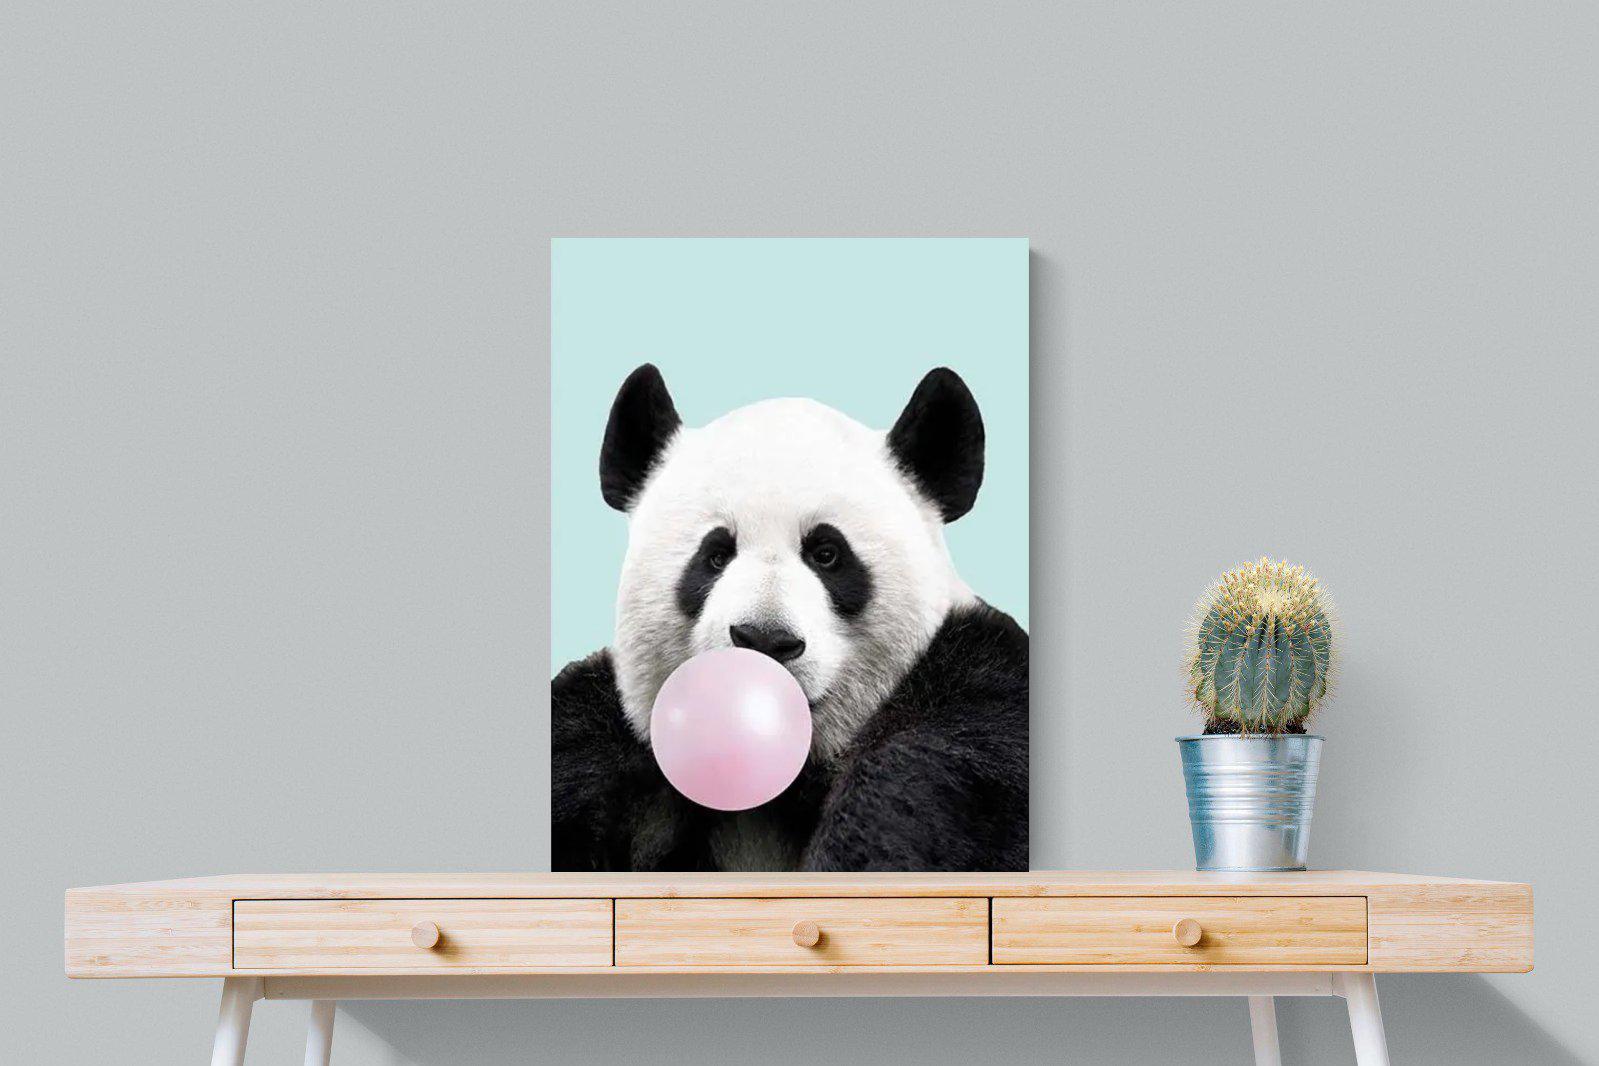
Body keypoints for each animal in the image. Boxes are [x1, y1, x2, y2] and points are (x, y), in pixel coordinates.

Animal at [551, 363, 1028, 872]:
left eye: (827, 554)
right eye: (716, 555)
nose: (764, 640)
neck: (780, 784)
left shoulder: (980, 701)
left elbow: (930, 783)